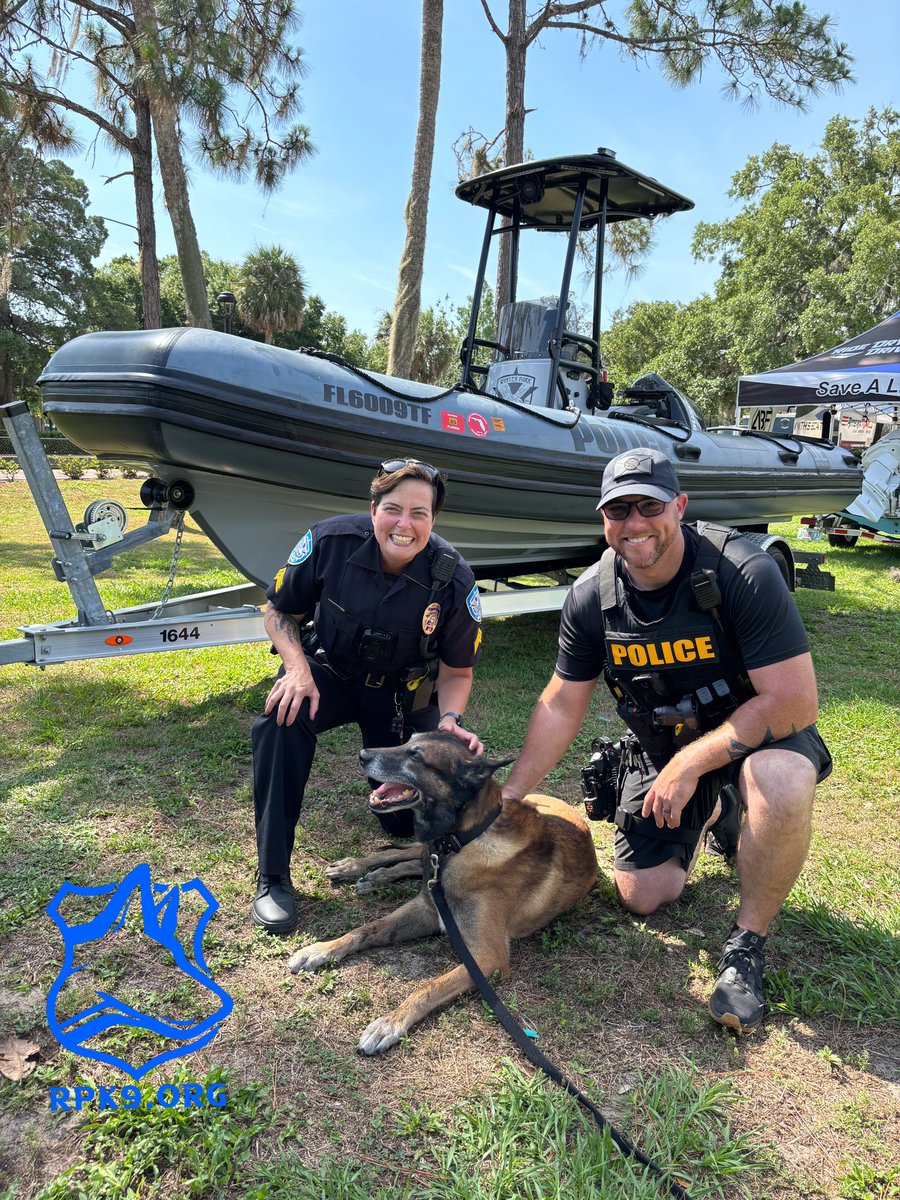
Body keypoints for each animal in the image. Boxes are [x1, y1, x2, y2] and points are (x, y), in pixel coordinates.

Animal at [289, 724, 600, 1056]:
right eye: (407, 740)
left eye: (416, 756)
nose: (362, 754)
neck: (466, 839)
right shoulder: (426, 909)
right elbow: (366, 929)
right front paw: (319, 950)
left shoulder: (487, 958)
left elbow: (429, 986)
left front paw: (390, 1023)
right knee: (404, 853)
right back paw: (357, 868)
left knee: (412, 861)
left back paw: (375, 876)